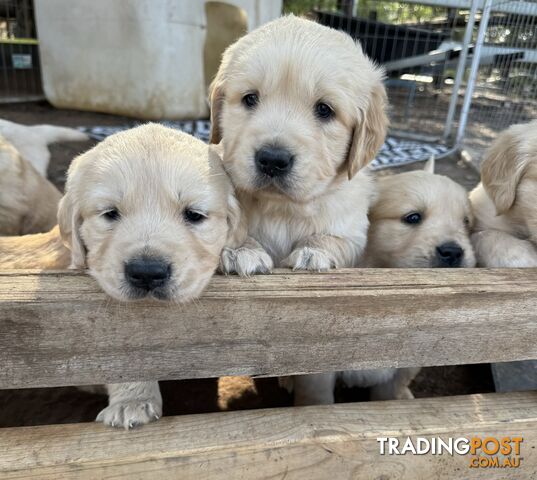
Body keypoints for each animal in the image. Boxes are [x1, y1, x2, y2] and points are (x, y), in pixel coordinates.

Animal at [209, 15, 386, 274]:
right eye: (250, 98)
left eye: (324, 109)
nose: (272, 160)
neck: (282, 209)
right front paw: (241, 249)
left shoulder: (352, 232)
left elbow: (335, 239)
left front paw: (314, 250)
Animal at [282, 160, 476, 404]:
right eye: (413, 217)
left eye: (466, 223)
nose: (453, 252)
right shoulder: (318, 367)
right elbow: (317, 397)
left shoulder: (407, 365)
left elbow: (389, 393)